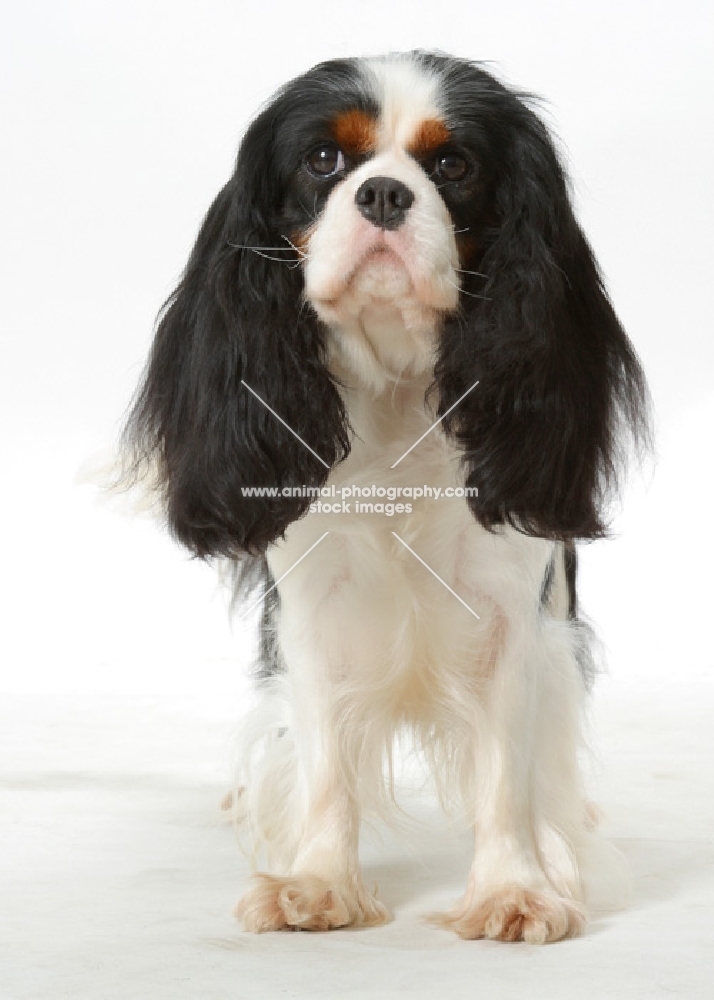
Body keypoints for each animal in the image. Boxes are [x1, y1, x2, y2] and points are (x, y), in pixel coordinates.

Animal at [122, 50, 644, 940]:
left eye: (454, 165)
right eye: (324, 160)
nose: (384, 194)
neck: (399, 381)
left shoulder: (510, 613)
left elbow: (506, 770)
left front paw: (514, 889)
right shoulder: (312, 608)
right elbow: (325, 760)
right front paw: (317, 884)